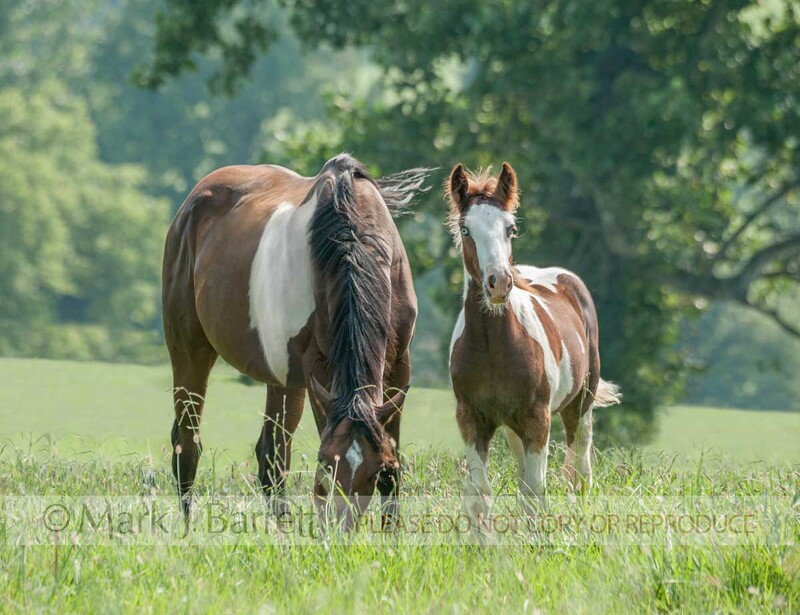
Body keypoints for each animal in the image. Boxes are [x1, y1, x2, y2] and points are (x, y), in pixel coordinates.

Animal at [162, 153, 428, 528]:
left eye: (373, 472)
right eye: (324, 468)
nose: (341, 528)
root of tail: (192, 201)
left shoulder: (399, 367)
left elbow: (395, 470)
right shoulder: (320, 374)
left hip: (283, 376)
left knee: (271, 456)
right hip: (189, 350)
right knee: (187, 443)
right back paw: (189, 526)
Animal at [445, 162, 621, 526]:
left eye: (510, 228)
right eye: (466, 230)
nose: (499, 283)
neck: (493, 348)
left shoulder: (538, 420)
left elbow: (536, 493)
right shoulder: (471, 419)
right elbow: (479, 495)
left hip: (580, 404)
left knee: (579, 469)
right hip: (514, 428)